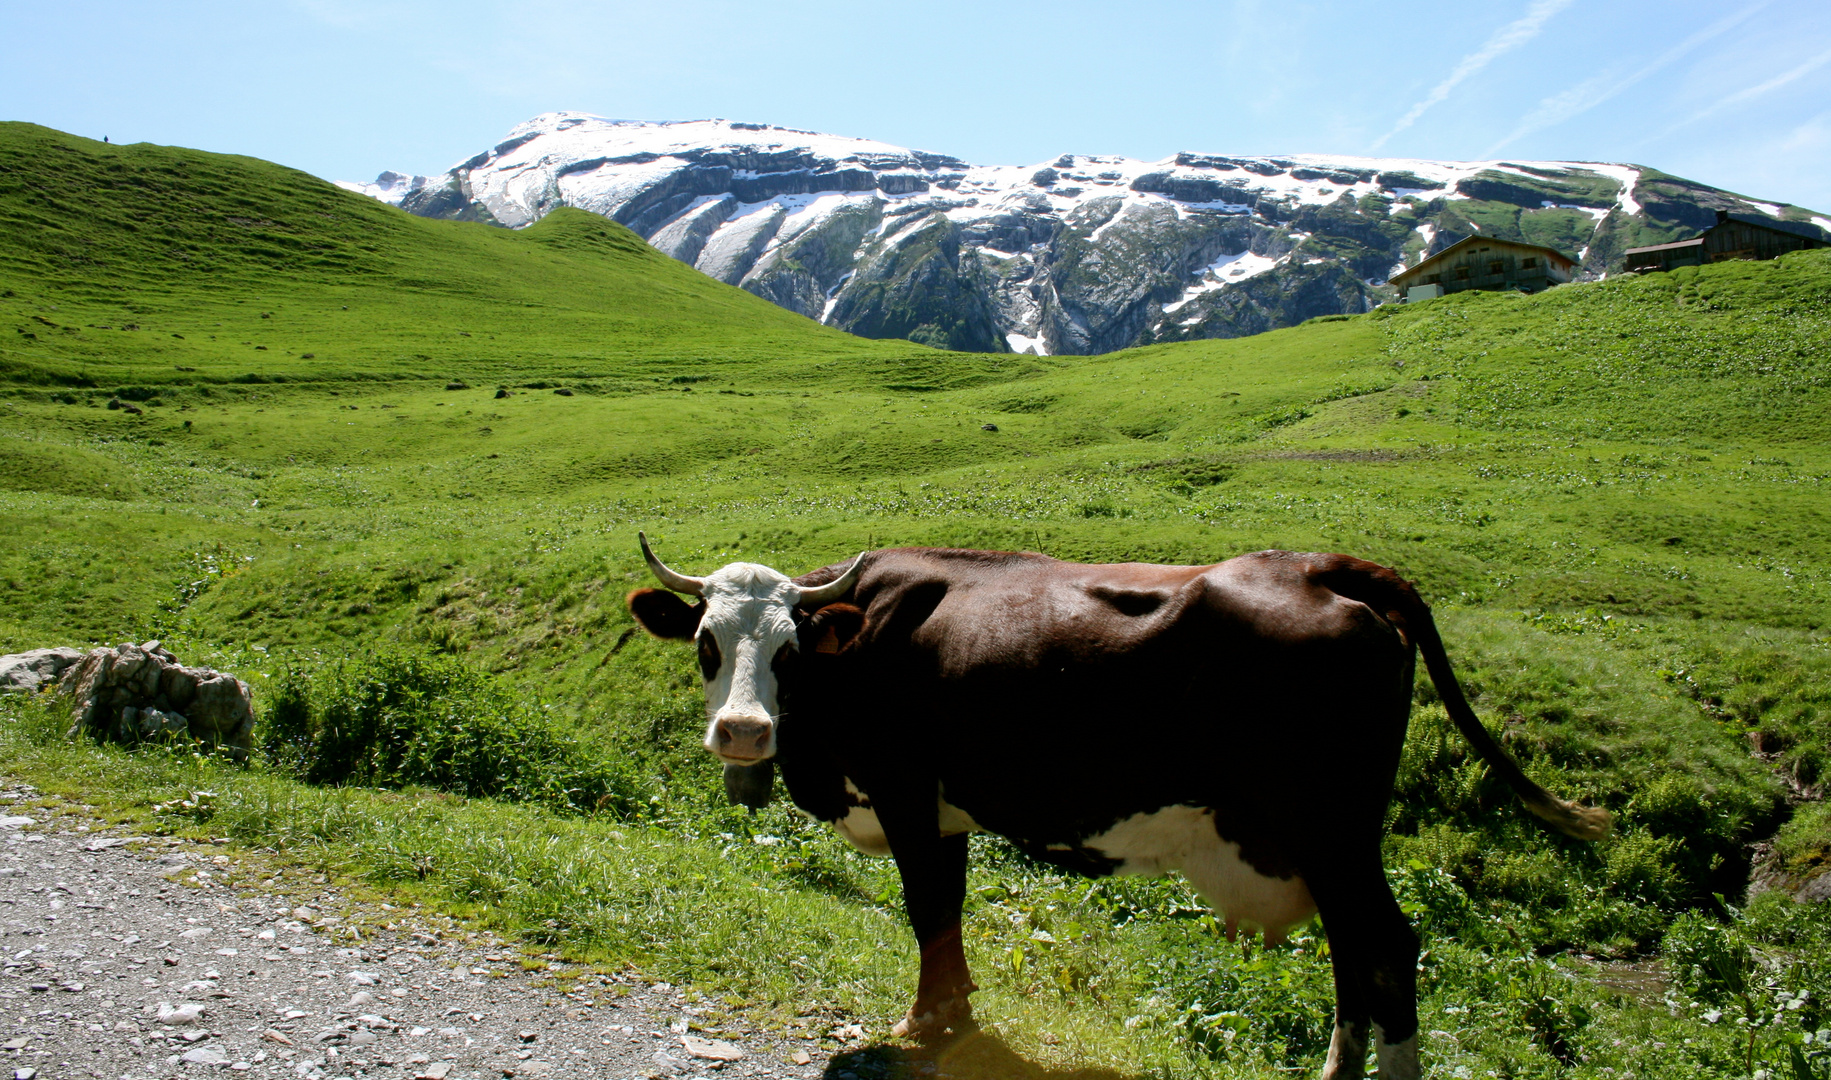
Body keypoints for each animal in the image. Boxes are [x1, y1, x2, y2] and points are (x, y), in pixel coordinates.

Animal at [622, 538, 1611, 1080]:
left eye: (788, 652)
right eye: (707, 642)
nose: (743, 732)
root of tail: (1321, 568)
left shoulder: (904, 792)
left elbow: (924, 908)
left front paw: (920, 1026)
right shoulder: (944, 810)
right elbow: (948, 912)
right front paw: (956, 1014)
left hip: (1330, 827)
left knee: (1387, 948)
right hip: (1328, 840)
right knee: (1351, 950)